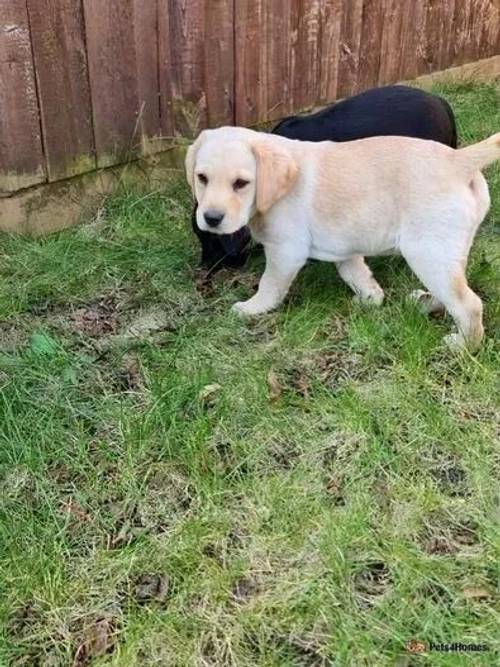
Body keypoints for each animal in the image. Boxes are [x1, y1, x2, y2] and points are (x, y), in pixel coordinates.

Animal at [186, 127, 498, 352]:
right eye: (202, 178)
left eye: (241, 183)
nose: (211, 218)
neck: (274, 192)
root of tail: (458, 161)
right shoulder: (345, 247)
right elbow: (357, 275)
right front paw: (370, 299)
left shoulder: (285, 251)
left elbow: (270, 284)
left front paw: (253, 307)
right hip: (443, 251)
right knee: (454, 289)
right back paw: (427, 301)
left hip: (427, 252)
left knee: (468, 303)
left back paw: (463, 346)